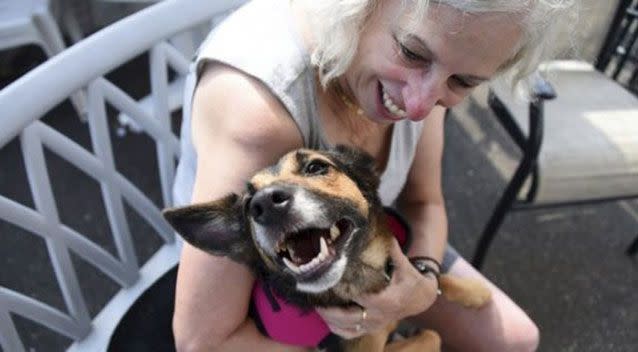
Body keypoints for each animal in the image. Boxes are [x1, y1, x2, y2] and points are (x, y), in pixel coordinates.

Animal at [162, 144, 492, 350]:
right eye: (247, 205)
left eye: (316, 167)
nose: (264, 204)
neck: (361, 277)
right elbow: (432, 336)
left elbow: (426, 274)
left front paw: (475, 292)